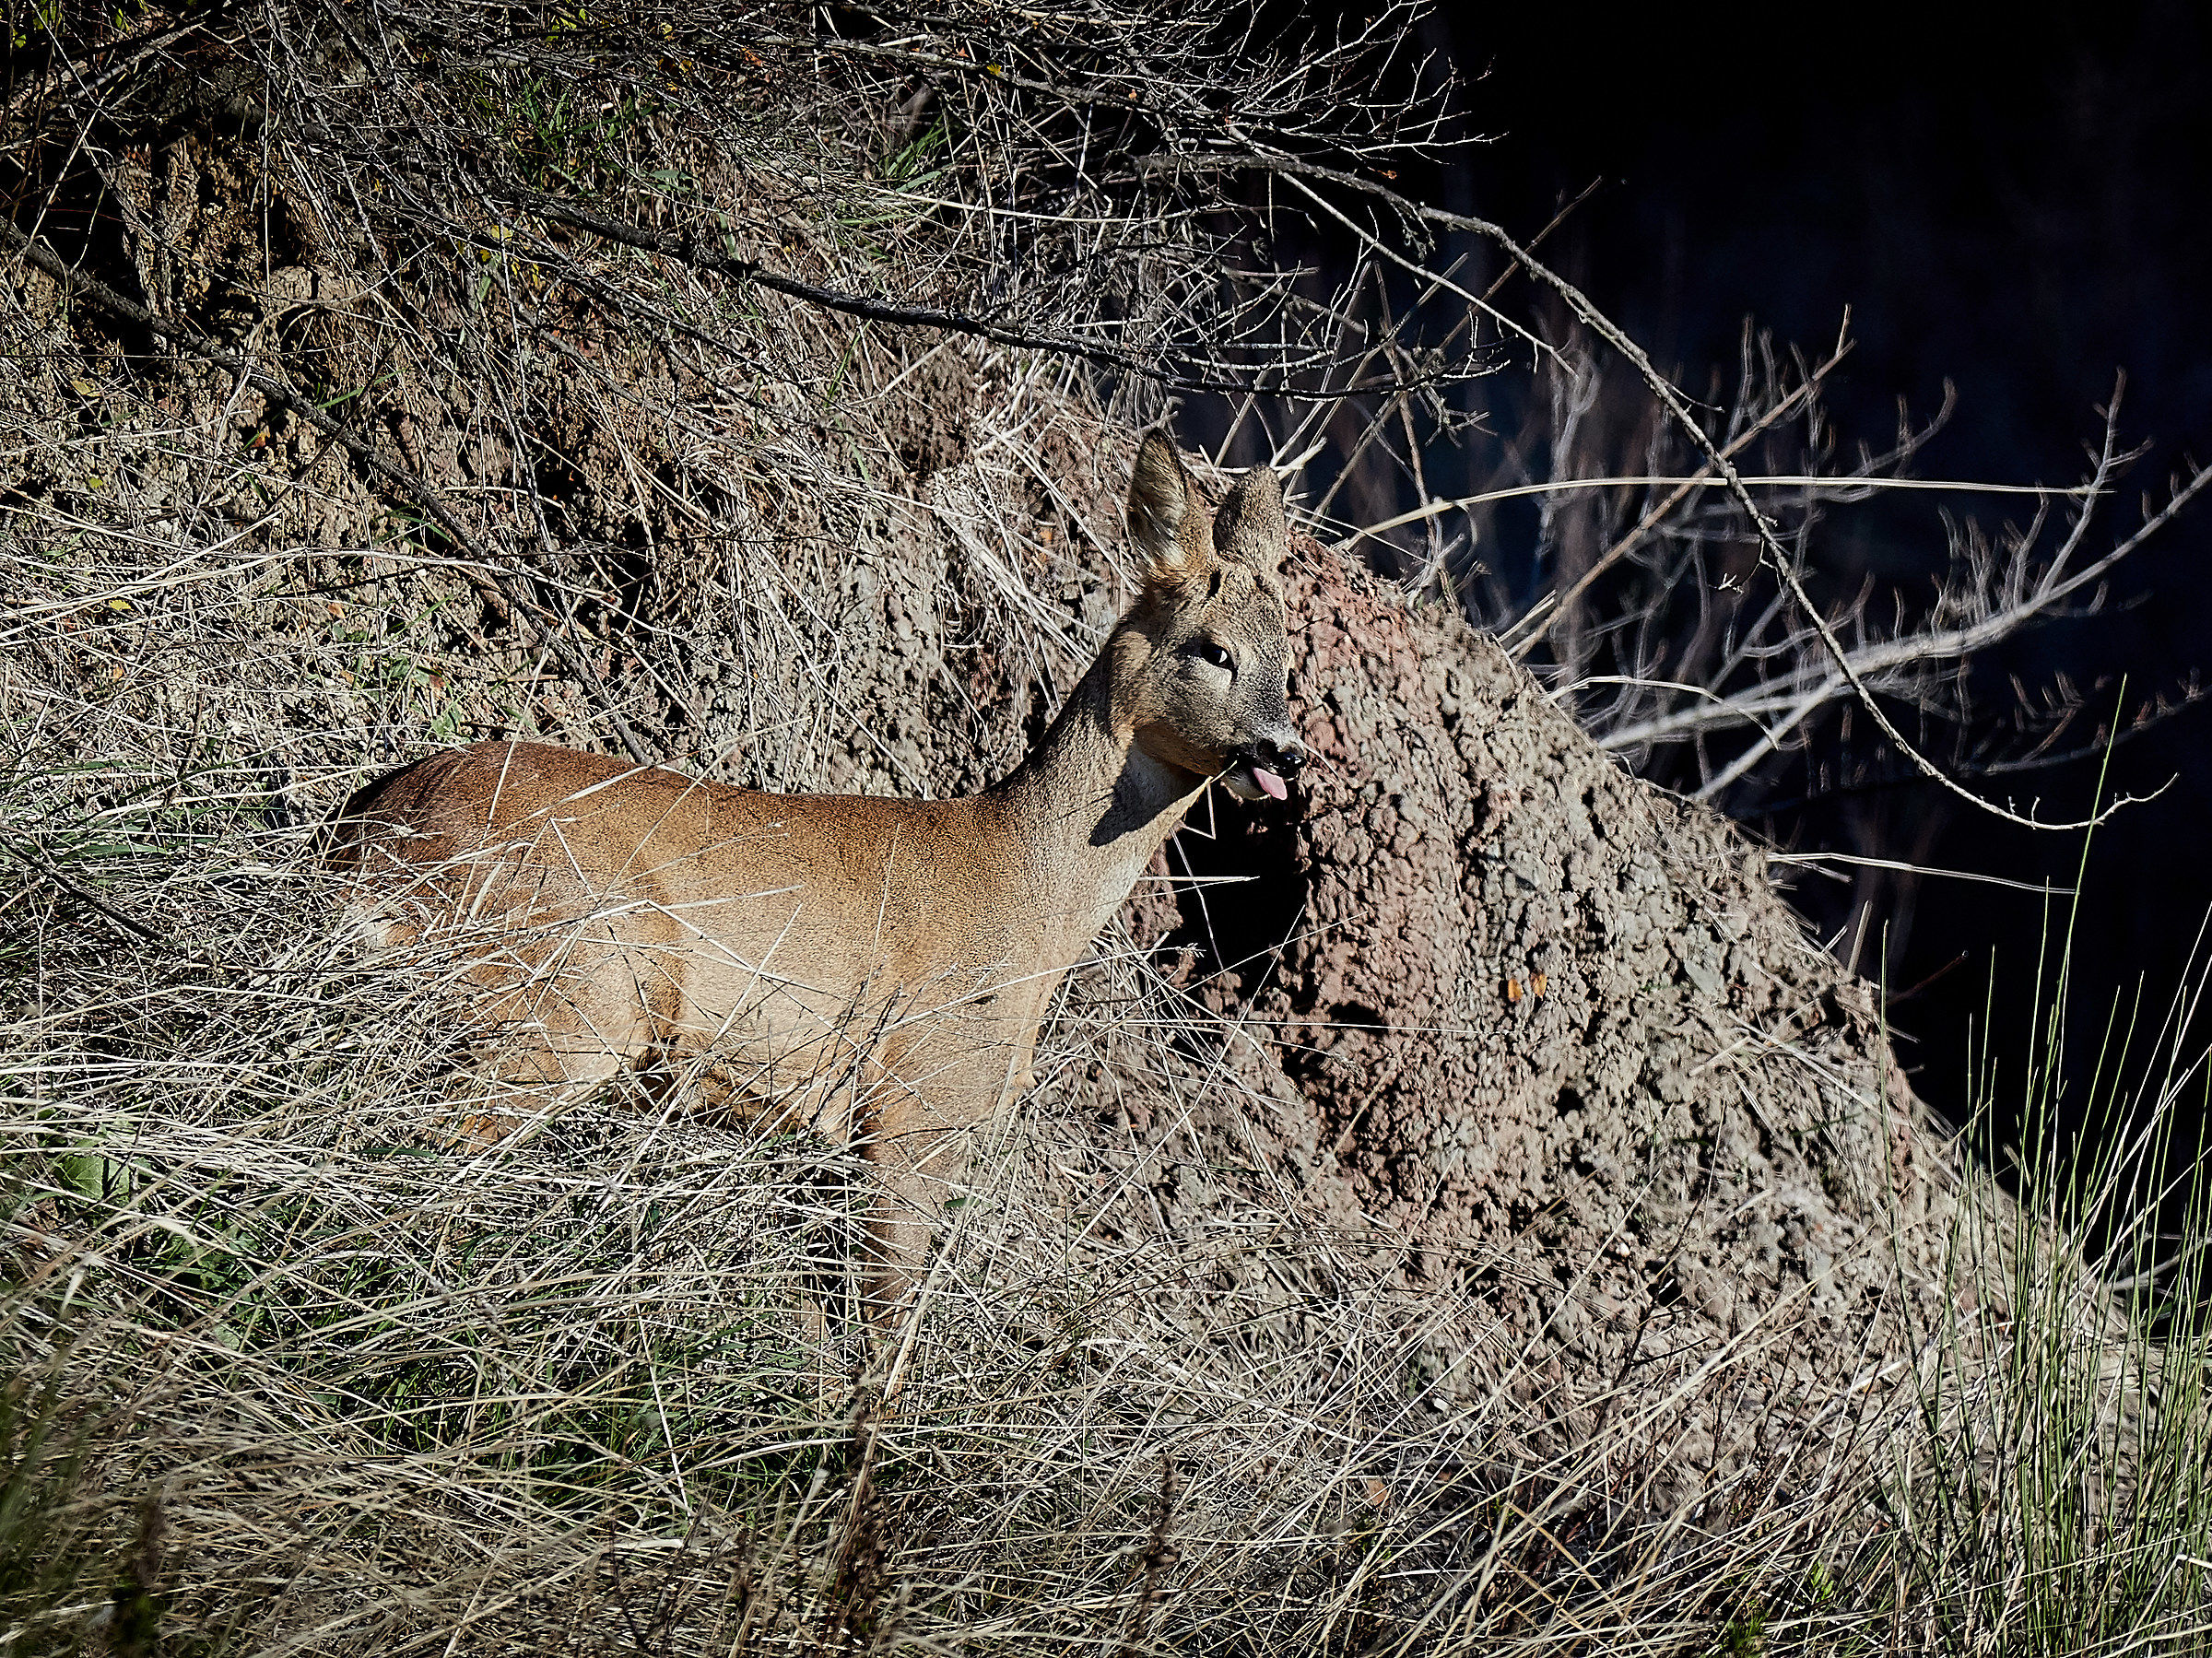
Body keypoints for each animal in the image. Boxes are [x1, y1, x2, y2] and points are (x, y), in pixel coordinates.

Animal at [331, 432, 1306, 1312]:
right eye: (1214, 649)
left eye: (1288, 663)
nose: (1287, 751)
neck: (1030, 902)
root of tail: (369, 836)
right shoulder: (916, 1100)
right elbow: (883, 1340)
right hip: (577, 987)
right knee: (429, 1139)